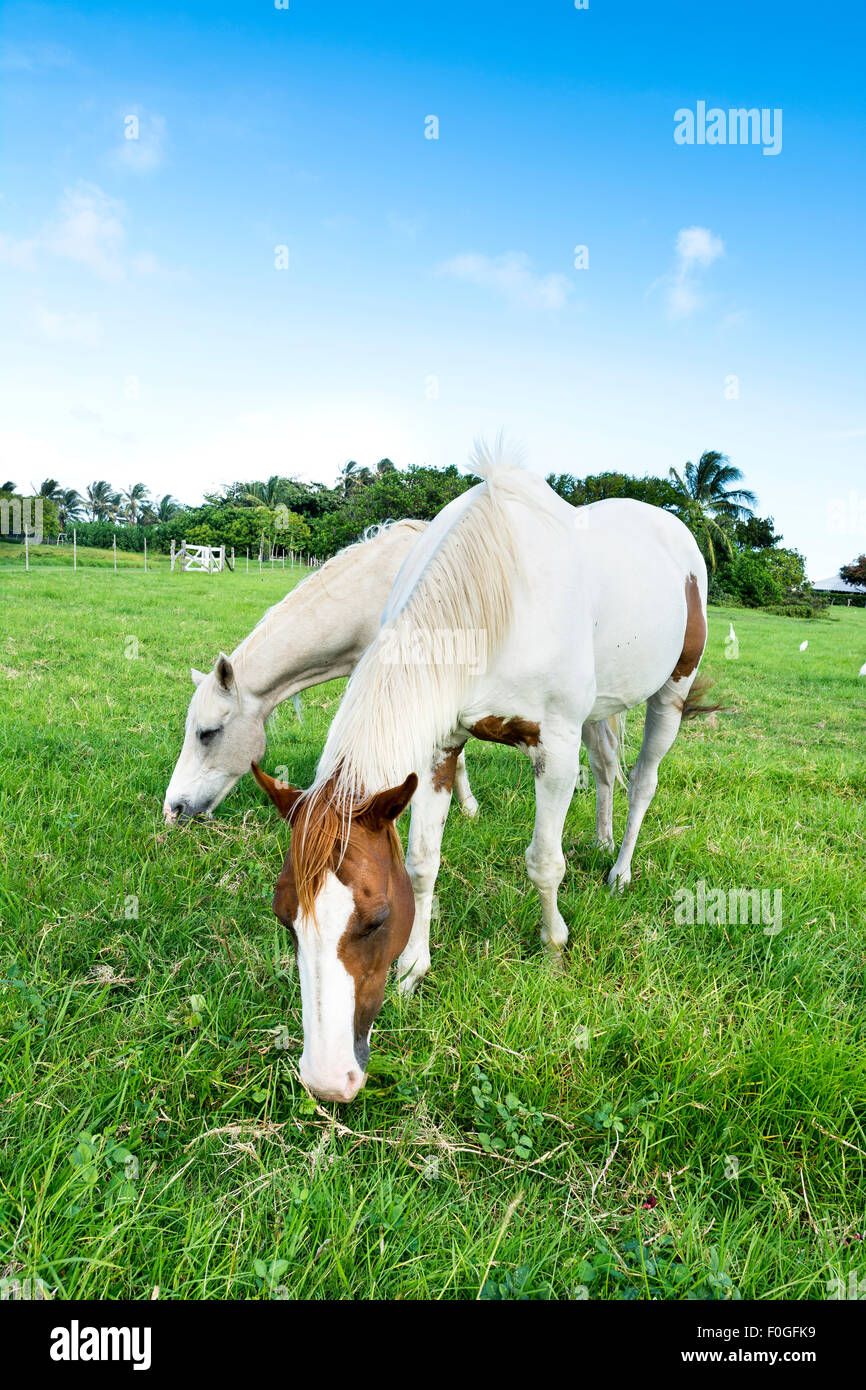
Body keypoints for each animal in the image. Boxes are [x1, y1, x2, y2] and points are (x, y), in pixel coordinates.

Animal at [252, 442, 711, 1095]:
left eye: (375, 918)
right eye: (285, 917)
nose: (326, 1079)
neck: (494, 594)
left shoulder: (554, 748)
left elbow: (544, 863)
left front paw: (553, 947)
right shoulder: (439, 746)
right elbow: (422, 862)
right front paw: (414, 967)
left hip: (671, 690)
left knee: (641, 783)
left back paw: (619, 869)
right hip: (605, 707)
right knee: (605, 770)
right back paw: (600, 840)